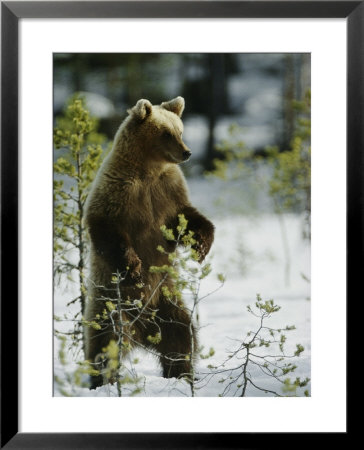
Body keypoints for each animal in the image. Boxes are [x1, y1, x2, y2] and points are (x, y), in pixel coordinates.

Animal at [83, 96, 213, 388]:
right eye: (166, 133)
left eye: (180, 130)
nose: (187, 152)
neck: (148, 169)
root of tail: (142, 331)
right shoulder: (117, 193)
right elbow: (108, 231)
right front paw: (133, 265)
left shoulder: (168, 193)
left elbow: (188, 218)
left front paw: (201, 245)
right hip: (112, 302)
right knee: (106, 342)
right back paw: (103, 380)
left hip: (167, 300)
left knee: (182, 336)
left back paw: (182, 374)